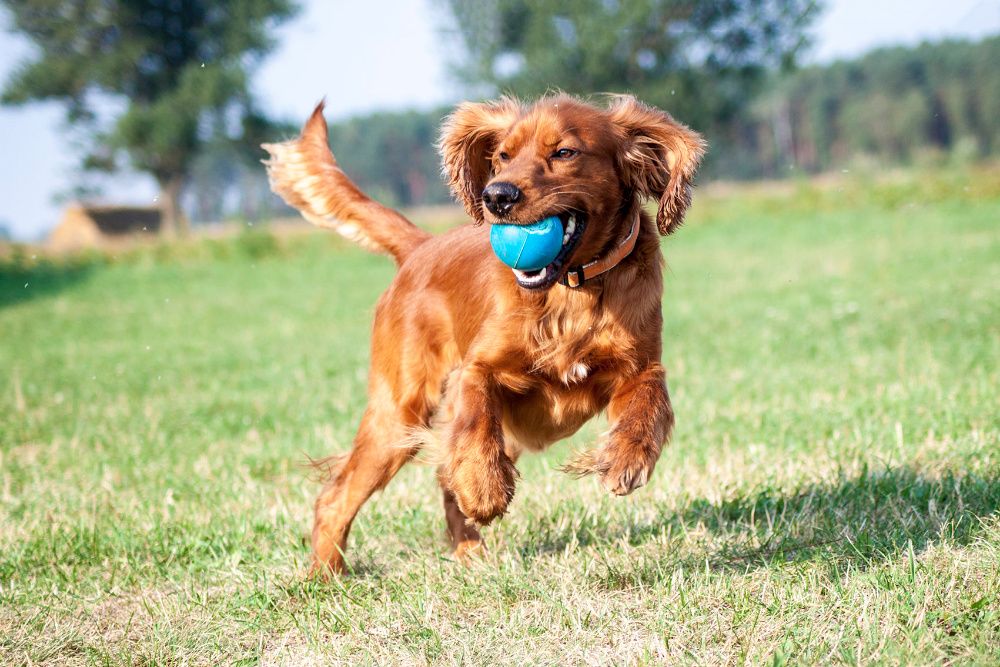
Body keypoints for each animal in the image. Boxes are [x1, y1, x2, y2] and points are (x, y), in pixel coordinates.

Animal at [262, 92, 708, 576]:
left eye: (564, 152)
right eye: (503, 157)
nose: (497, 195)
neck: (571, 291)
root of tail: (421, 246)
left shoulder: (639, 364)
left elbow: (649, 399)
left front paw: (627, 457)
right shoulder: (476, 369)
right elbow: (475, 417)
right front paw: (485, 491)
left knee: (440, 477)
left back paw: (468, 552)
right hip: (398, 414)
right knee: (338, 495)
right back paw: (326, 576)